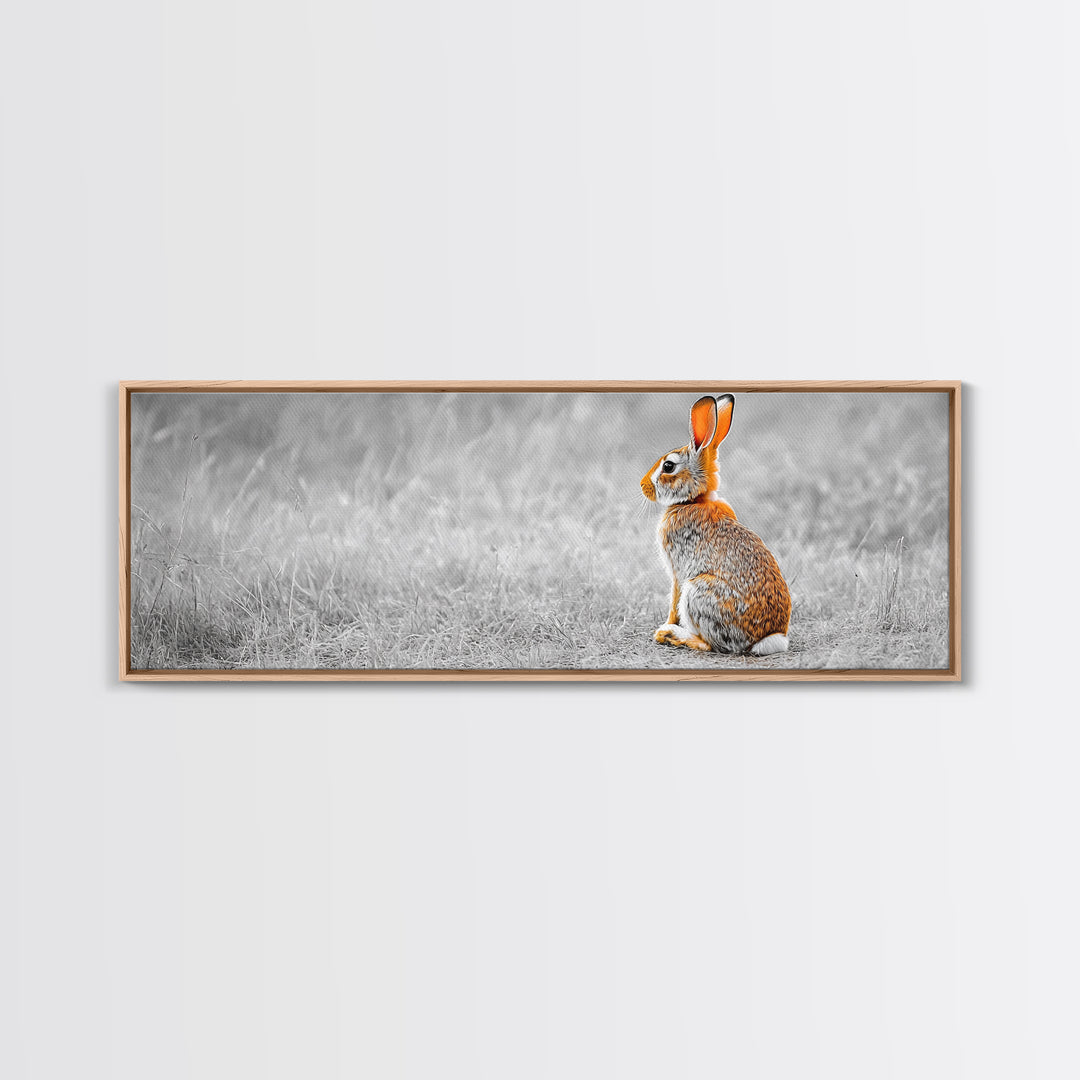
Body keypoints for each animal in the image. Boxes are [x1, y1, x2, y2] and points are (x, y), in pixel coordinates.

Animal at [640, 394, 791, 655]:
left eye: (668, 466)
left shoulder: (678, 572)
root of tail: (768, 639)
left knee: (711, 644)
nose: (642, 485)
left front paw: (665, 625)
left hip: (698, 592)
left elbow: (673, 600)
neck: (694, 500)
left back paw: (671, 635)